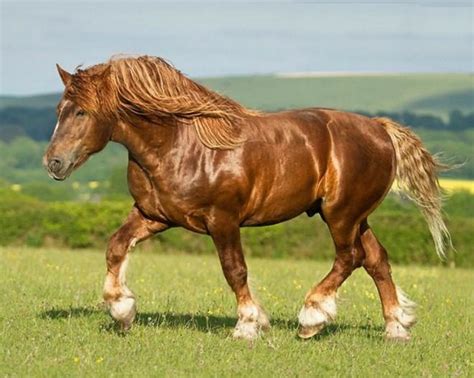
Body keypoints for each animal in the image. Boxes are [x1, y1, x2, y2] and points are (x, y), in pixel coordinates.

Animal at [42, 56, 450, 342]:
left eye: (81, 111)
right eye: (59, 110)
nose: (53, 163)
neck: (178, 144)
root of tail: (379, 129)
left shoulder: (222, 220)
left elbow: (234, 270)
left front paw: (248, 325)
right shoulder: (153, 215)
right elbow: (115, 247)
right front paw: (122, 311)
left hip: (341, 214)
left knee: (349, 257)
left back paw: (312, 318)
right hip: (355, 216)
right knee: (376, 260)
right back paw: (396, 328)